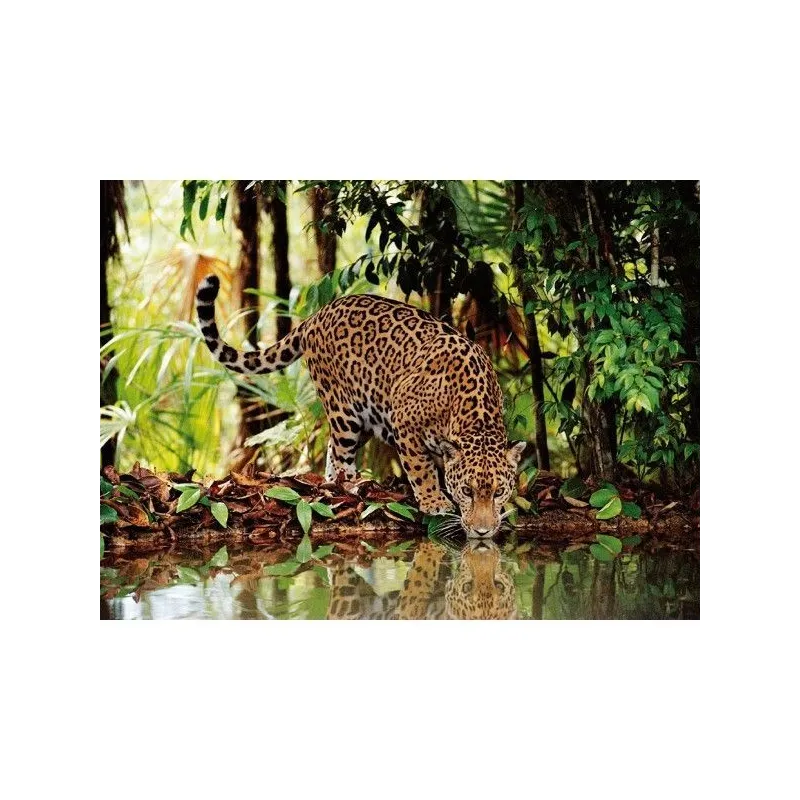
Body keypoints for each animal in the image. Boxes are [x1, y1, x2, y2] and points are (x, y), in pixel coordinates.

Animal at [196, 274, 526, 537]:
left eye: (499, 492)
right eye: (467, 491)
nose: (483, 532)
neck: (473, 415)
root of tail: (317, 315)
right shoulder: (404, 421)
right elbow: (421, 469)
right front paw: (434, 502)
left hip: (366, 414)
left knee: (332, 450)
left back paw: (333, 484)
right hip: (343, 410)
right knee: (342, 453)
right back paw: (348, 488)